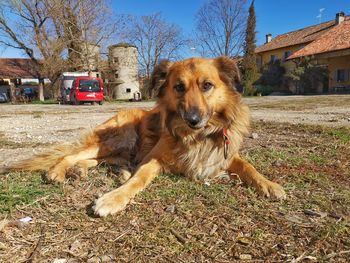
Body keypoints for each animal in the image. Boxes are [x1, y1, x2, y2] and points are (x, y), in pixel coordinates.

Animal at [4, 57, 286, 217]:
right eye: (179, 87)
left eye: (207, 85)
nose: (193, 119)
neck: (197, 136)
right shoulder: (153, 158)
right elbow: (138, 179)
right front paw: (112, 199)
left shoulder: (225, 154)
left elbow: (248, 166)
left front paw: (269, 184)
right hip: (120, 138)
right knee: (72, 155)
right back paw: (58, 171)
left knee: (98, 161)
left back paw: (85, 171)